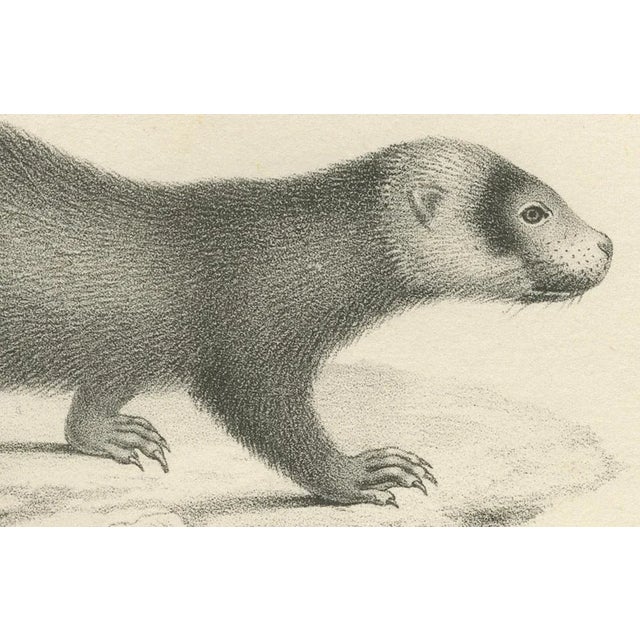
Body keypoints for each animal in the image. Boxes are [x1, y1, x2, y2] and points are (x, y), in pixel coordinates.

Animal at [0, 124, 612, 507]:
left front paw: (111, 433)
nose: (606, 244)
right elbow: (275, 422)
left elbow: (97, 396)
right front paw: (364, 472)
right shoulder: (251, 338)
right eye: (534, 211)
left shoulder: (140, 343)